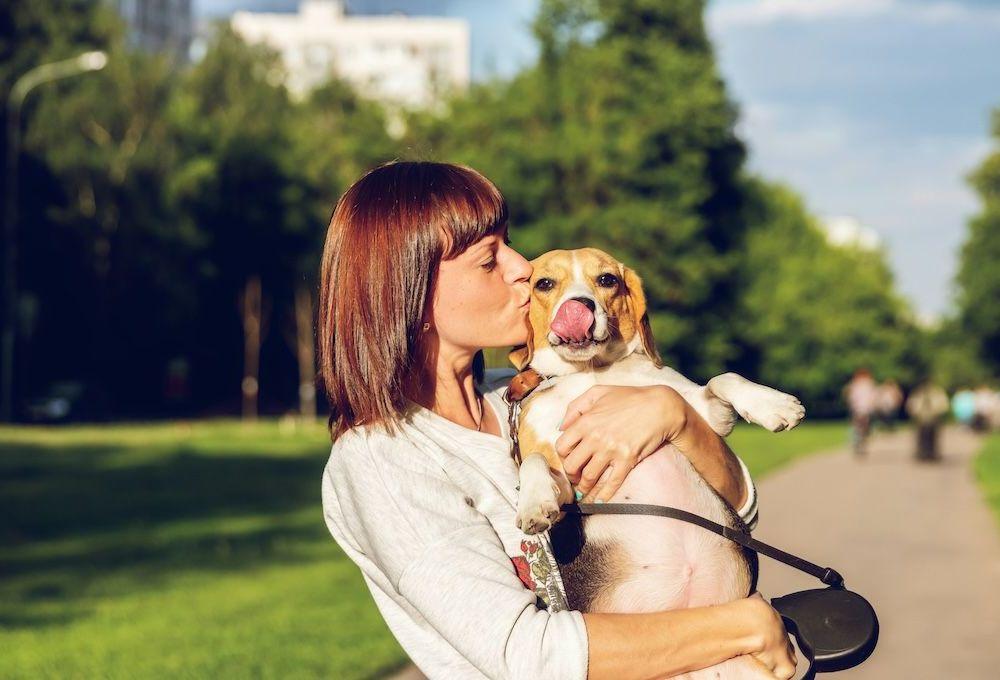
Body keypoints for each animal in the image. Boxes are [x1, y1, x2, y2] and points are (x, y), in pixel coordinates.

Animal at [508, 250, 804, 680]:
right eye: (544, 283)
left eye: (607, 279)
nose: (578, 307)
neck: (592, 372)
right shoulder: (566, 483)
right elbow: (532, 461)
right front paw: (533, 504)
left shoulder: (703, 415)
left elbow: (724, 377)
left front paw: (773, 405)